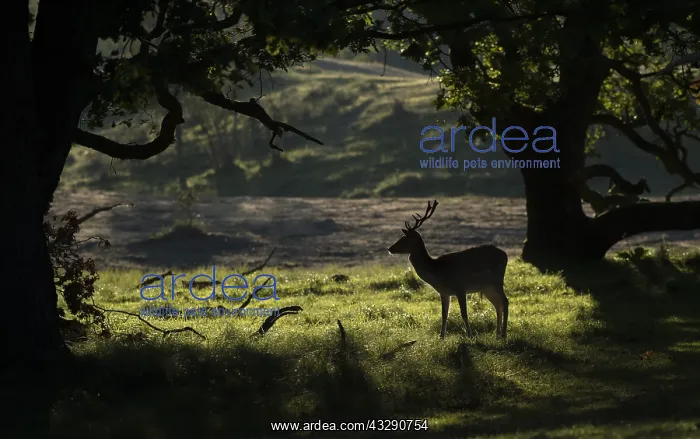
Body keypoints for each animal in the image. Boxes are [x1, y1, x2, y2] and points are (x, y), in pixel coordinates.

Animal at [387, 200, 509, 340]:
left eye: (403, 238)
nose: (389, 248)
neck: (437, 272)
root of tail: (505, 255)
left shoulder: (460, 287)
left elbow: (464, 313)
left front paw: (470, 336)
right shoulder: (444, 292)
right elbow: (444, 314)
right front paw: (441, 338)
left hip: (497, 280)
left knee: (505, 301)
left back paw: (504, 334)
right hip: (487, 287)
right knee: (498, 305)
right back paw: (497, 335)